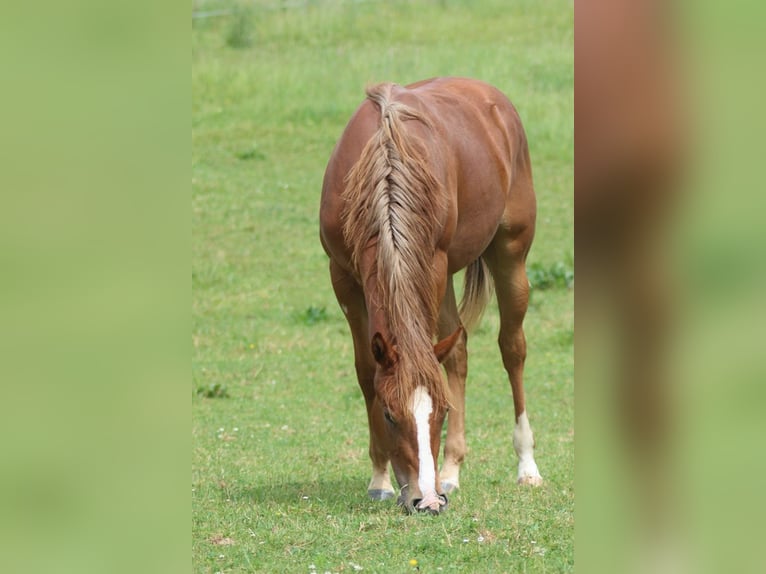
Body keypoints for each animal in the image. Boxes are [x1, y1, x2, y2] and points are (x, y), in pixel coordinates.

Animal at [319, 77, 542, 514]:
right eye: (389, 414)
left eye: (442, 411)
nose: (427, 501)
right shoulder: (344, 278)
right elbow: (366, 370)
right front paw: (380, 479)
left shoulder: (432, 264)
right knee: (459, 348)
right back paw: (451, 471)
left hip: (509, 254)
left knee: (512, 349)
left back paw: (526, 465)